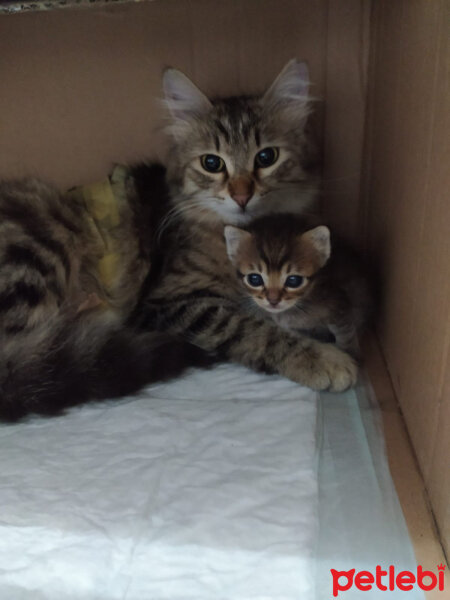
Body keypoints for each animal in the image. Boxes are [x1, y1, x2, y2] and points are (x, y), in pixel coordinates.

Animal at [133, 58, 356, 392]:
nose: (241, 196)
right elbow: (252, 326)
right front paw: (322, 358)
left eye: (266, 157)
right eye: (212, 163)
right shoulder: (168, 302)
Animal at [224, 214, 372, 356]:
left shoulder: (340, 307)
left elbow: (346, 333)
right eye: (254, 279)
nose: (273, 300)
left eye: (294, 280)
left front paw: (351, 354)